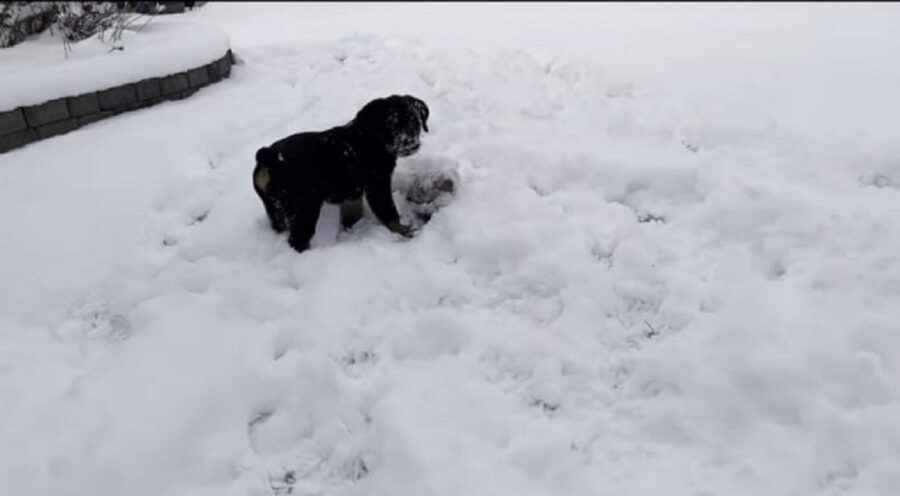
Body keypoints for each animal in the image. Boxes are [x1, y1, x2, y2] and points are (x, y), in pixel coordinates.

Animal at [251, 94, 430, 252]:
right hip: (306, 205)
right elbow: (390, 214)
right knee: (298, 239)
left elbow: (352, 216)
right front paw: (406, 232)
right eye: (392, 123)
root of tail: (269, 156)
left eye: (416, 121)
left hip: (274, 207)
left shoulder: (352, 194)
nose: (411, 142)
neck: (370, 138)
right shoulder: (377, 185)